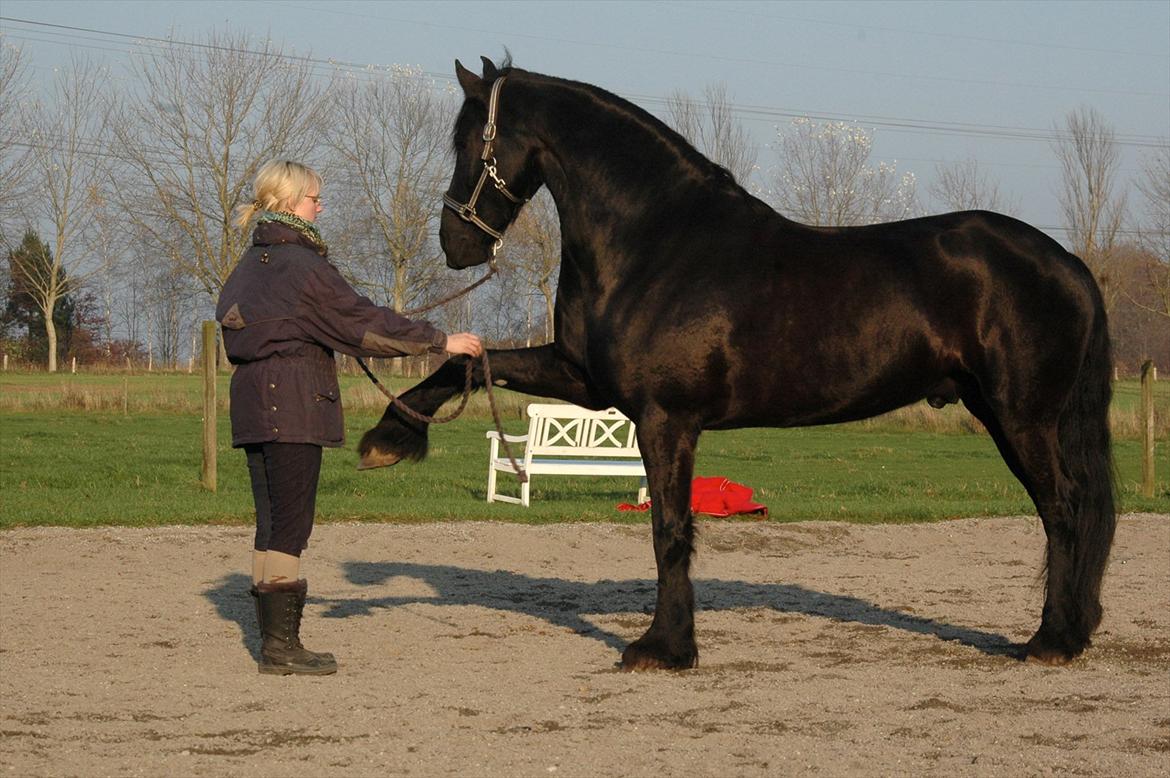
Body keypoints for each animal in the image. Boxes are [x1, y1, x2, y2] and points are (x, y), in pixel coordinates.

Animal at [360, 59, 1118, 669]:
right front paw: (387, 440)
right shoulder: (586, 379)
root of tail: (1069, 264)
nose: (455, 243)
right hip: (1001, 412)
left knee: (1064, 511)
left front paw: (663, 649)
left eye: (469, 142)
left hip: (1021, 417)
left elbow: (669, 530)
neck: (654, 241)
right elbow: (468, 364)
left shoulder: (665, 418)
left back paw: (1052, 641)